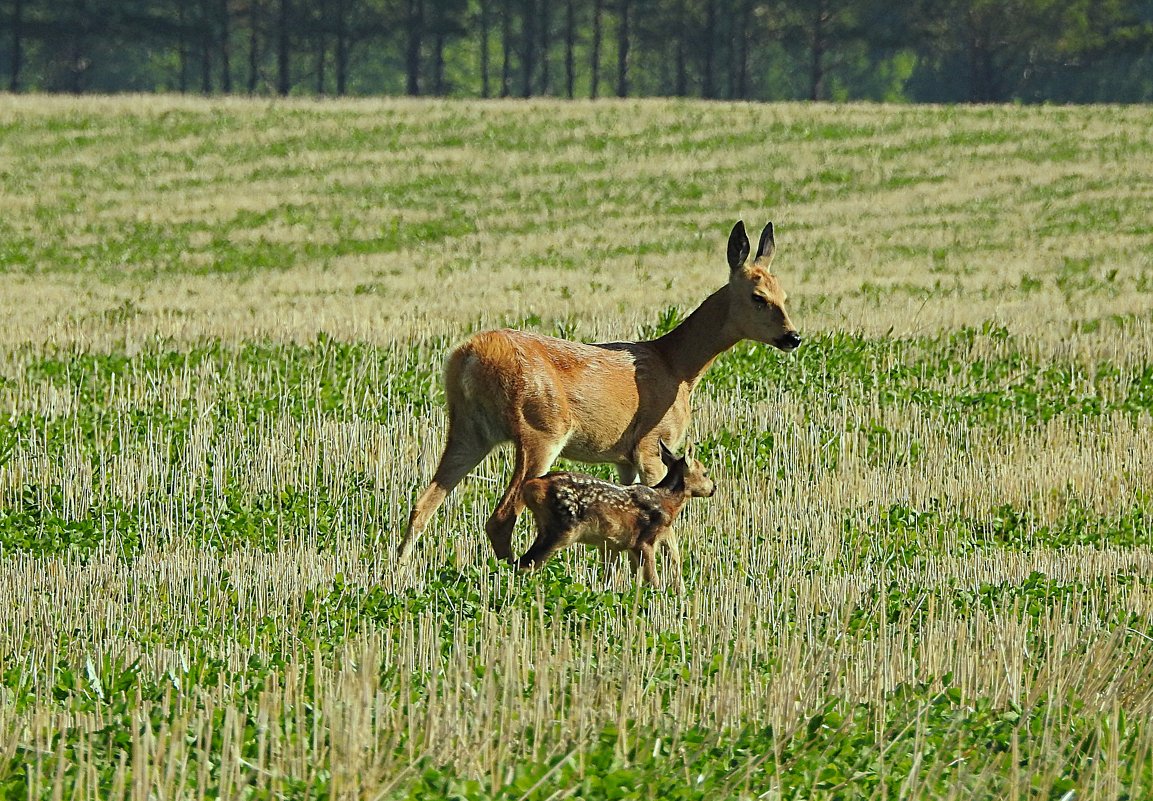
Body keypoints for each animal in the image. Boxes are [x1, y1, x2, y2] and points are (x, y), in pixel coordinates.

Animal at [401, 218, 797, 564]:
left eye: (784, 295)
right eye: (758, 296)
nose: (793, 337)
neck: (678, 366)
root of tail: (467, 356)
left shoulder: (623, 458)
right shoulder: (651, 445)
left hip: (469, 430)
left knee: (422, 504)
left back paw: (399, 571)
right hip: (540, 429)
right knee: (499, 518)